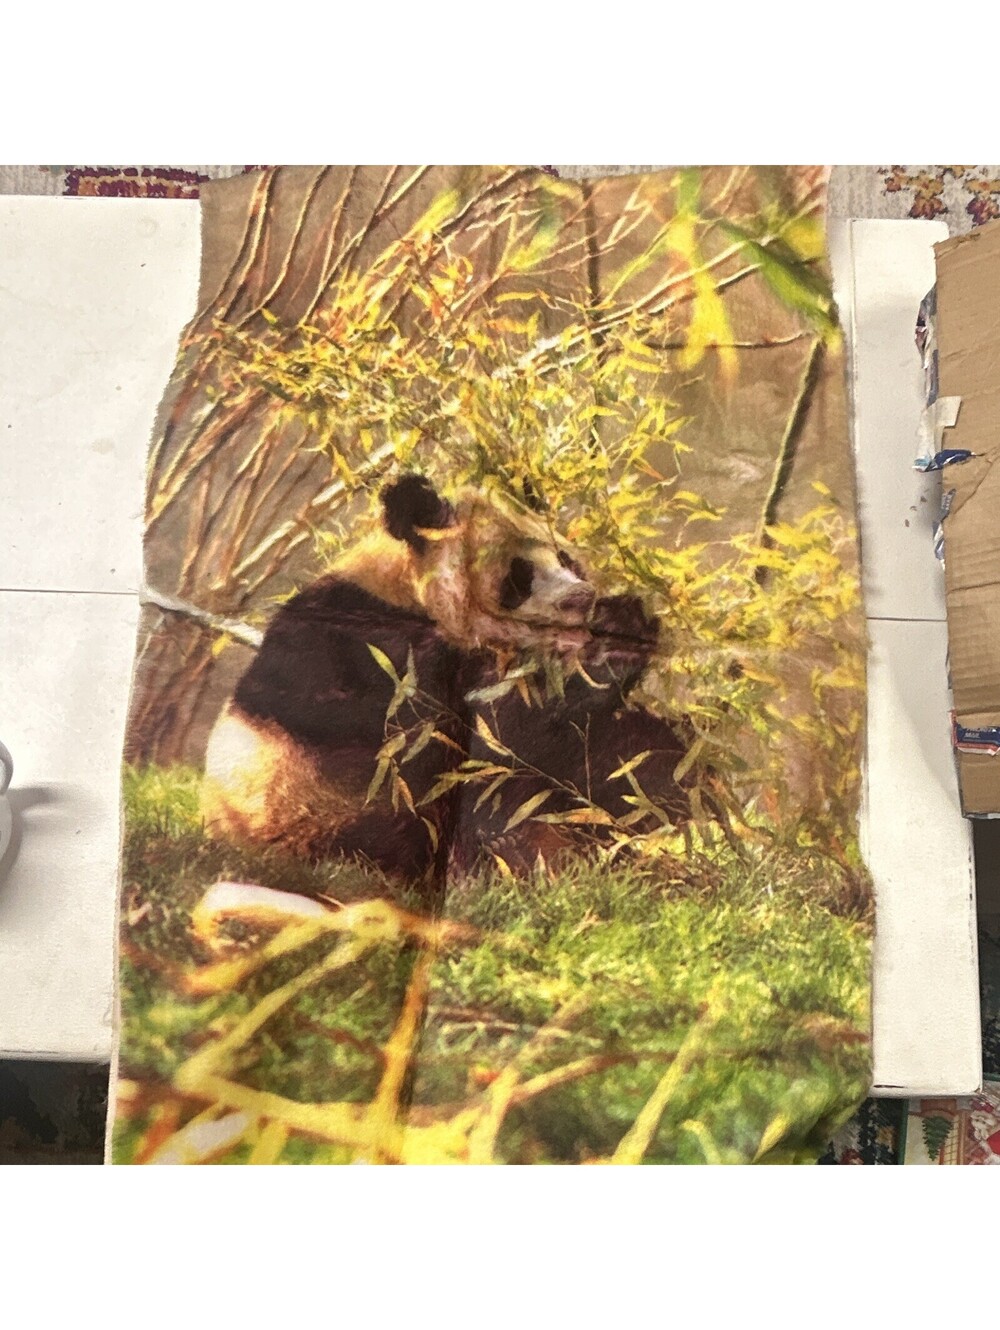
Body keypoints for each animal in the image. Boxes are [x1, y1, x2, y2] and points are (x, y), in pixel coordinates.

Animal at [201, 473, 690, 889]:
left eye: (566, 558)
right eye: (519, 575)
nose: (580, 597)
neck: (406, 590)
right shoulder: (374, 652)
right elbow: (482, 740)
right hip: (313, 816)